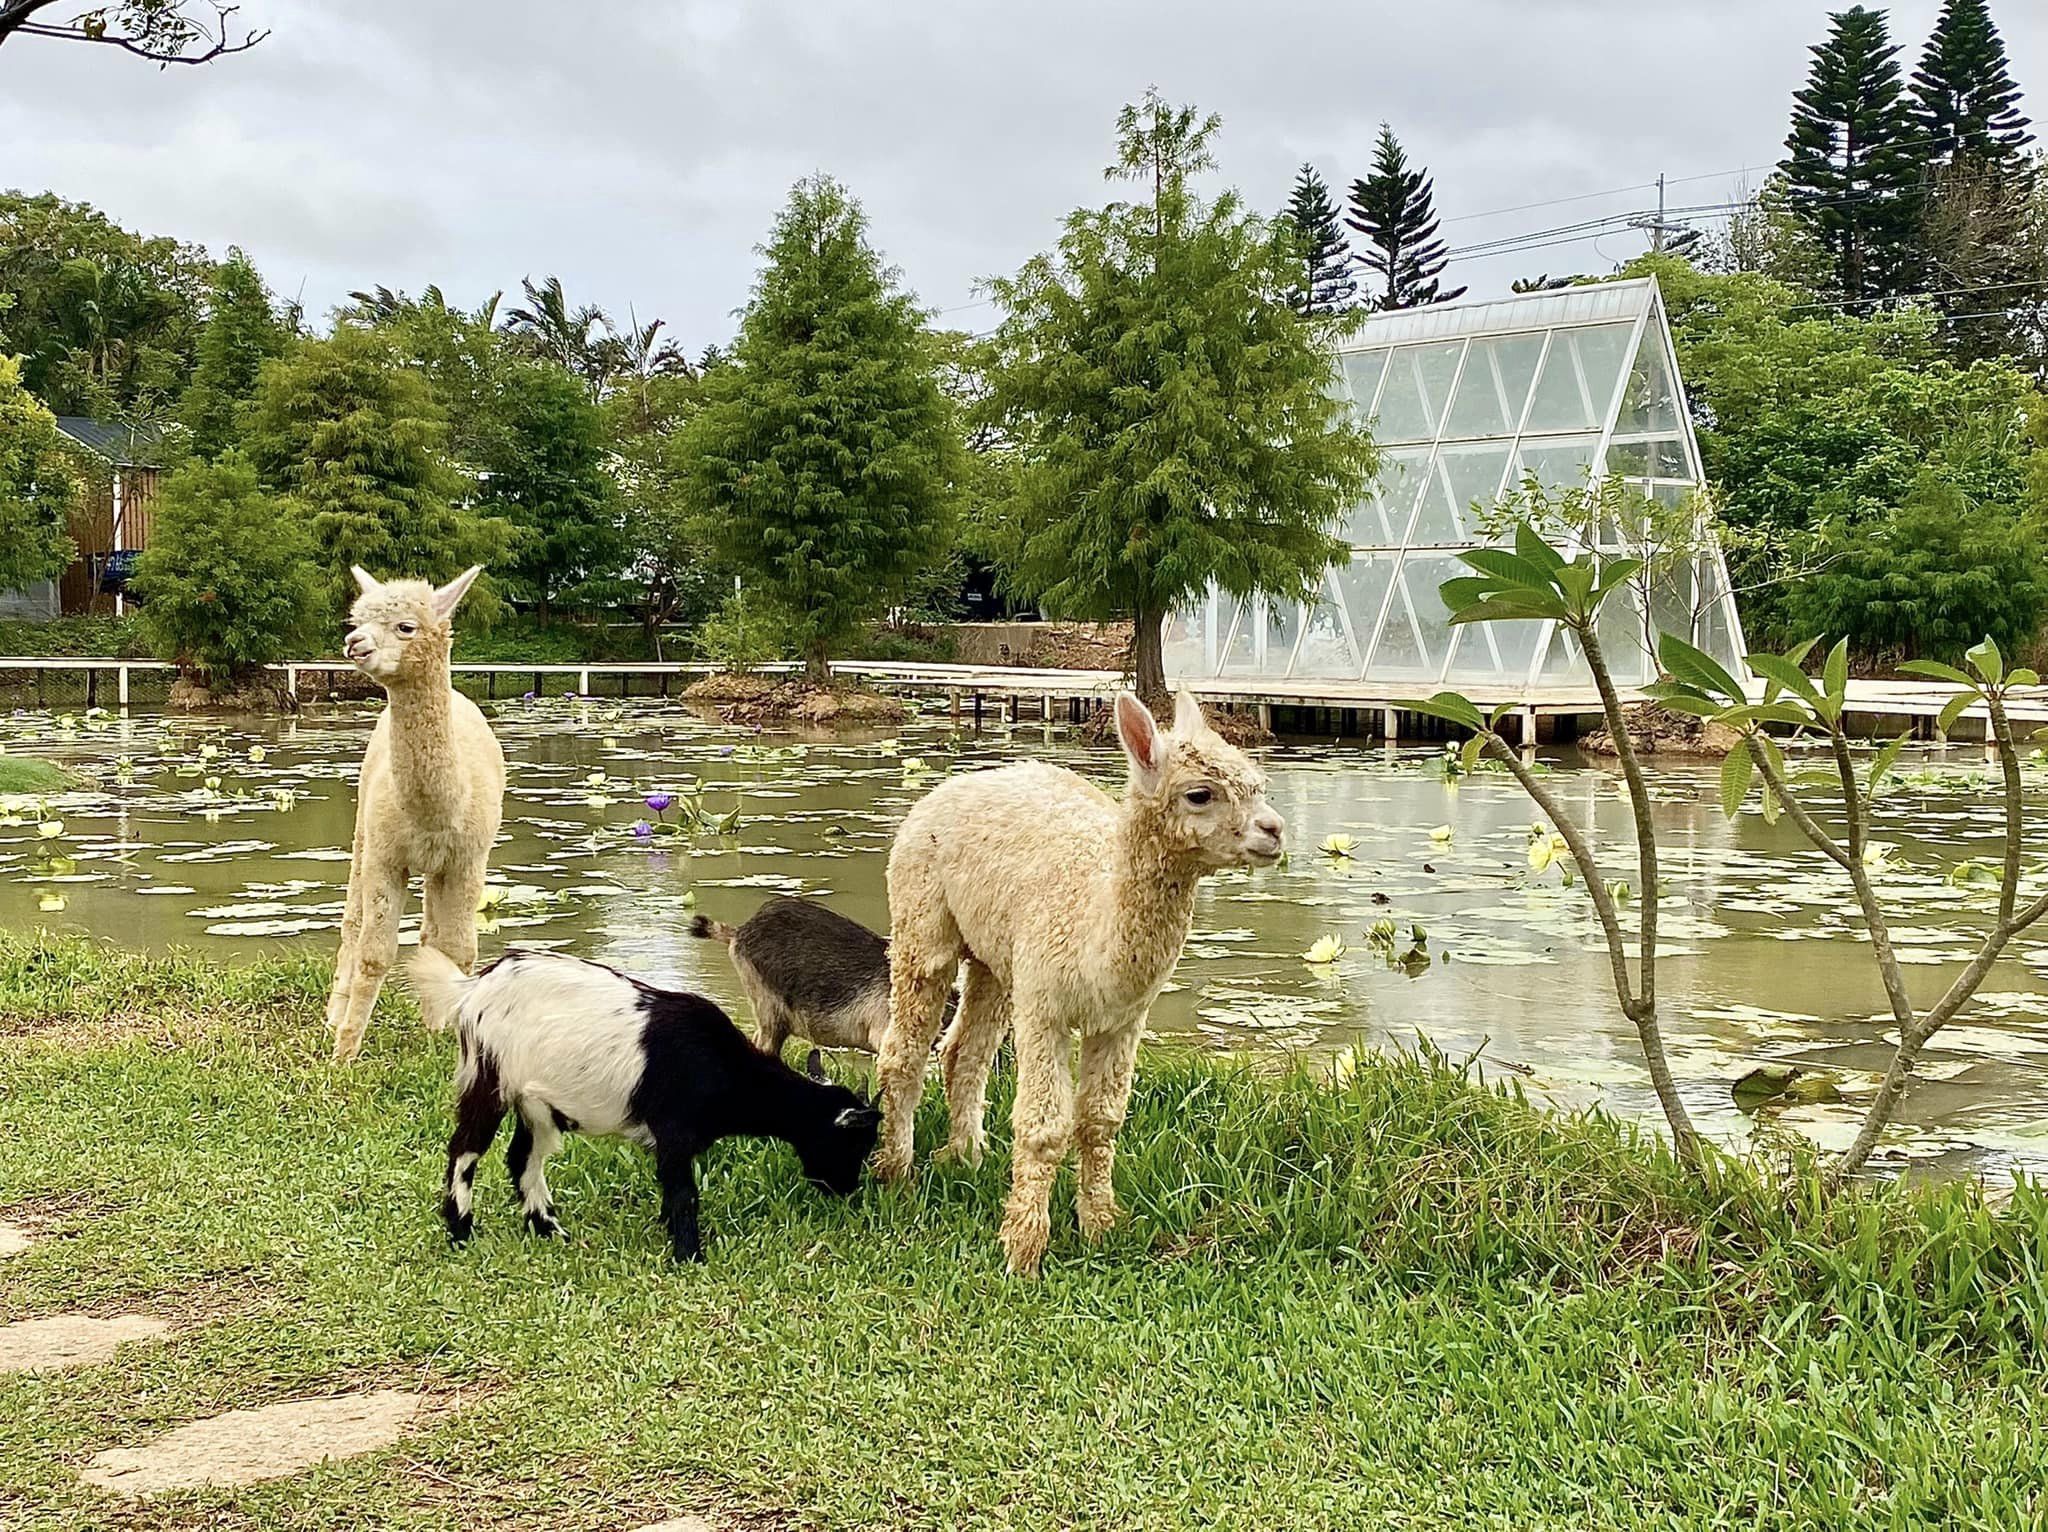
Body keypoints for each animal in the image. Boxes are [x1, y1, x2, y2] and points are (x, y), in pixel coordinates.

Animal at [407, 946, 880, 1253]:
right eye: (852, 1144)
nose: (845, 1190)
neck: (725, 1068)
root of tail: (471, 988)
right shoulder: (673, 1130)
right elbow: (683, 1192)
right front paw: (689, 1253)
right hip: (489, 1075)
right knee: (465, 1150)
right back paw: (461, 1230)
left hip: (537, 1102)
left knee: (523, 1158)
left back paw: (550, 1230)